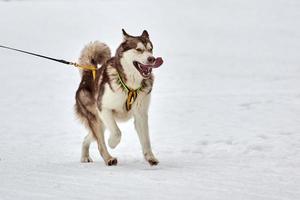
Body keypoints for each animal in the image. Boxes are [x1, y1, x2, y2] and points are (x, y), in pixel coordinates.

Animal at [75, 28, 164, 166]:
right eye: (139, 49)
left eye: (151, 49)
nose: (152, 59)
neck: (131, 87)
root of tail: (87, 75)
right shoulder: (104, 109)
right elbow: (117, 132)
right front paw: (112, 143)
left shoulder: (141, 115)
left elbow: (146, 140)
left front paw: (150, 157)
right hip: (97, 119)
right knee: (100, 143)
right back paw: (108, 158)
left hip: (101, 123)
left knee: (87, 138)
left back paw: (85, 157)